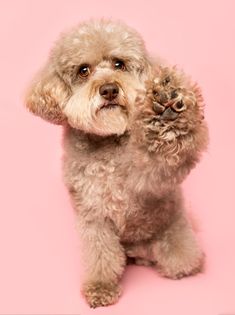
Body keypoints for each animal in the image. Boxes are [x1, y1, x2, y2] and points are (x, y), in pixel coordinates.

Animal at [25, 19, 208, 308]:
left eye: (119, 63)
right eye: (83, 70)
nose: (109, 89)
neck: (108, 141)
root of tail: (139, 250)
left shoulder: (150, 181)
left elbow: (165, 157)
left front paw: (168, 108)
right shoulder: (93, 213)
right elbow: (101, 253)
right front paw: (101, 287)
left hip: (177, 248)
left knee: (182, 263)